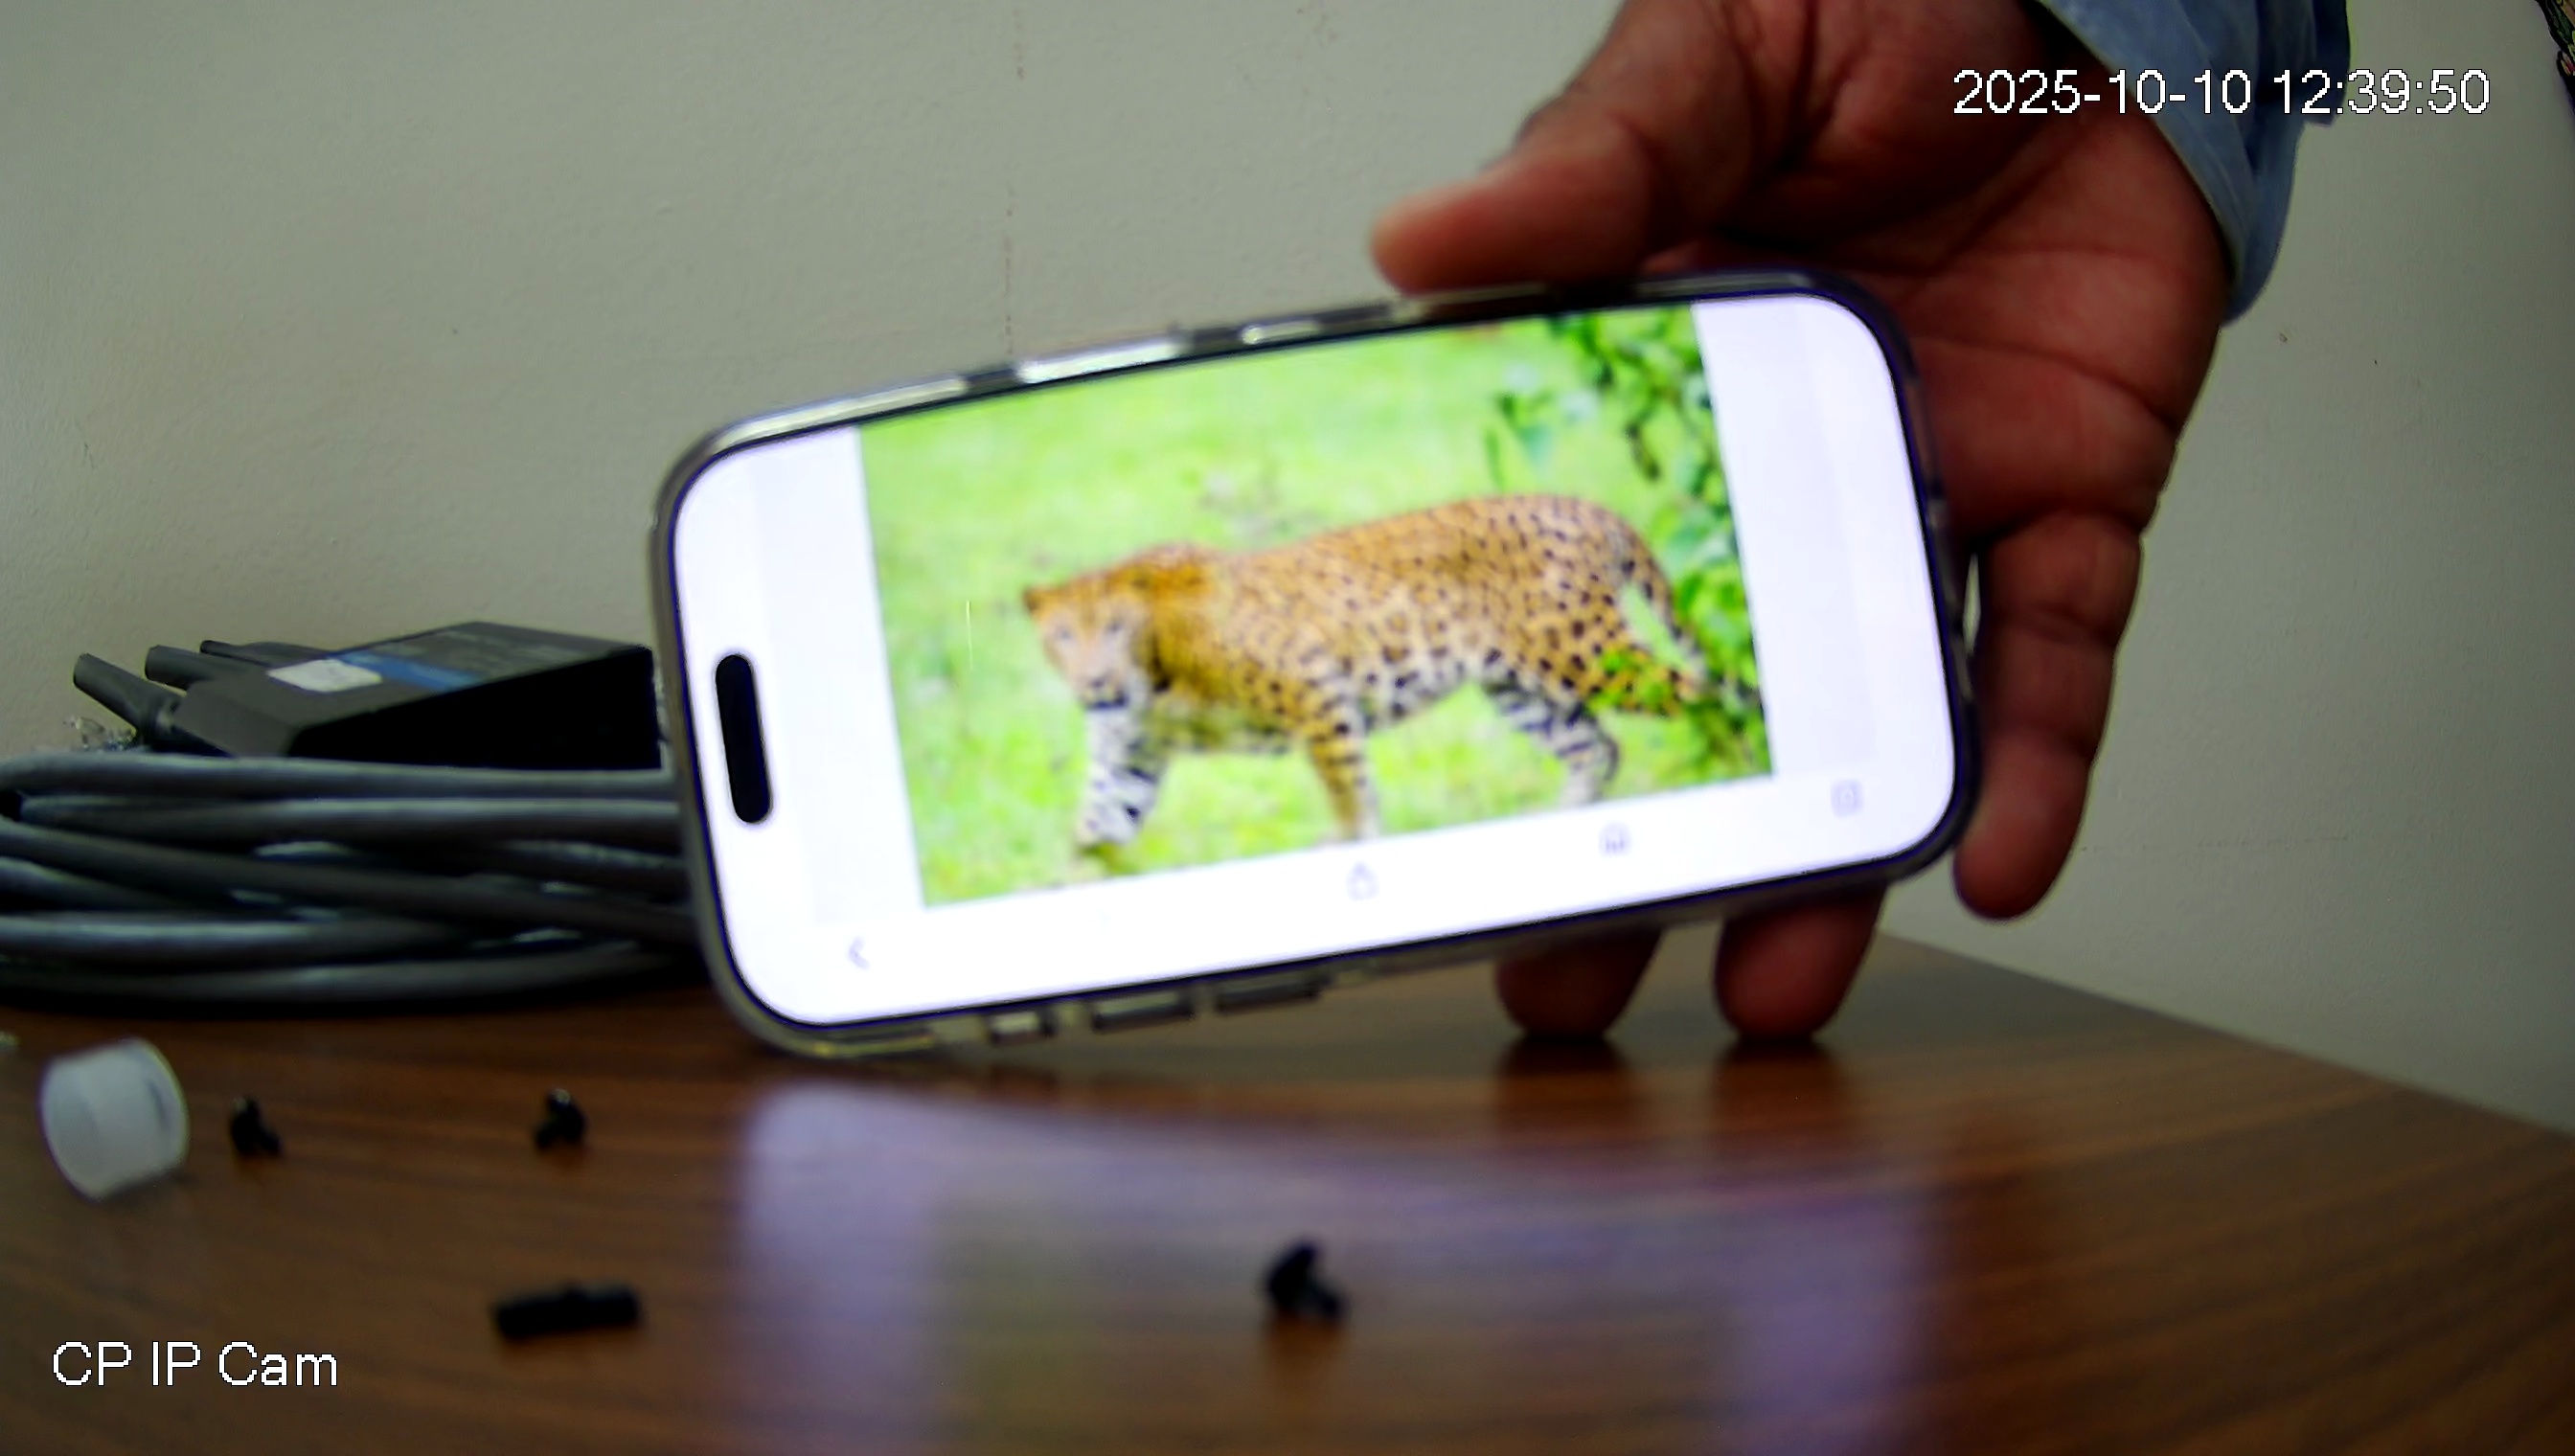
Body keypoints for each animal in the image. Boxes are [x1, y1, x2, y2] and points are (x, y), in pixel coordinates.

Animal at [1022, 494, 1714, 849]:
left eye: (1115, 629)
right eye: (1064, 637)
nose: (1096, 684)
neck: (1152, 675)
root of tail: (1588, 507)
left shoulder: (1316, 695)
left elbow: (1351, 794)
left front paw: (1358, 846)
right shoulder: (1126, 760)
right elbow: (1092, 836)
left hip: (1589, 655)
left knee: (1709, 694)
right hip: (1520, 687)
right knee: (1597, 748)